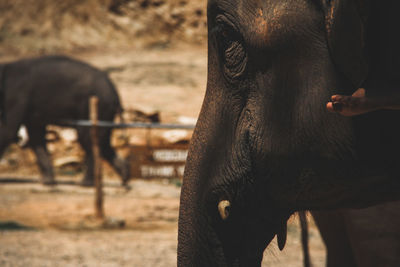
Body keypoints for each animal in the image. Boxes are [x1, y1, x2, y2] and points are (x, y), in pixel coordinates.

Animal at [0, 55, 129, 187]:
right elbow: (36, 136)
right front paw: (47, 182)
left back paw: (85, 183)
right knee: (103, 142)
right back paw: (124, 178)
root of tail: (116, 95)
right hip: (104, 113)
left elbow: (8, 130)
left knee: (88, 139)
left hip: (93, 108)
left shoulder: (15, 96)